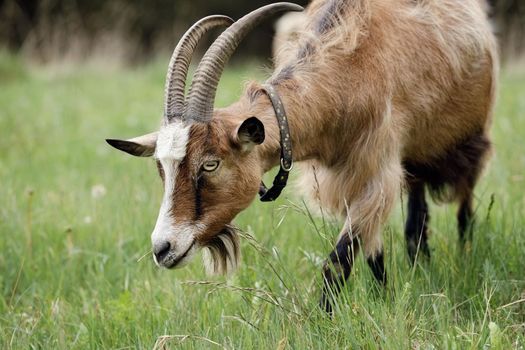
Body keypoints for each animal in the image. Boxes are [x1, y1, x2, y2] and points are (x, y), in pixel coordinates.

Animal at [105, 0, 496, 312]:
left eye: (210, 164)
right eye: (162, 169)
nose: (162, 248)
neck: (350, 75)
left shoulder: (376, 172)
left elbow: (338, 262)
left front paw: (323, 320)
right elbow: (376, 255)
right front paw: (387, 300)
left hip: (470, 141)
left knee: (464, 209)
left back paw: (464, 256)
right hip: (414, 162)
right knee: (417, 218)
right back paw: (422, 267)